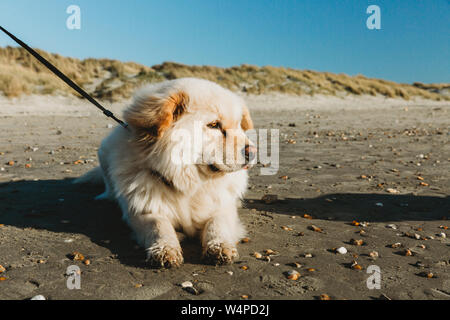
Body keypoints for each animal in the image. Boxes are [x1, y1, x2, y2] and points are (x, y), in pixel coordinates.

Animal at [75, 78, 255, 268]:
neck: (188, 184)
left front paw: (220, 247)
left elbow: (217, 223)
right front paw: (165, 249)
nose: (253, 152)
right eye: (213, 125)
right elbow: (158, 225)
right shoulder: (141, 211)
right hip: (103, 153)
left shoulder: (223, 207)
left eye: (238, 125)